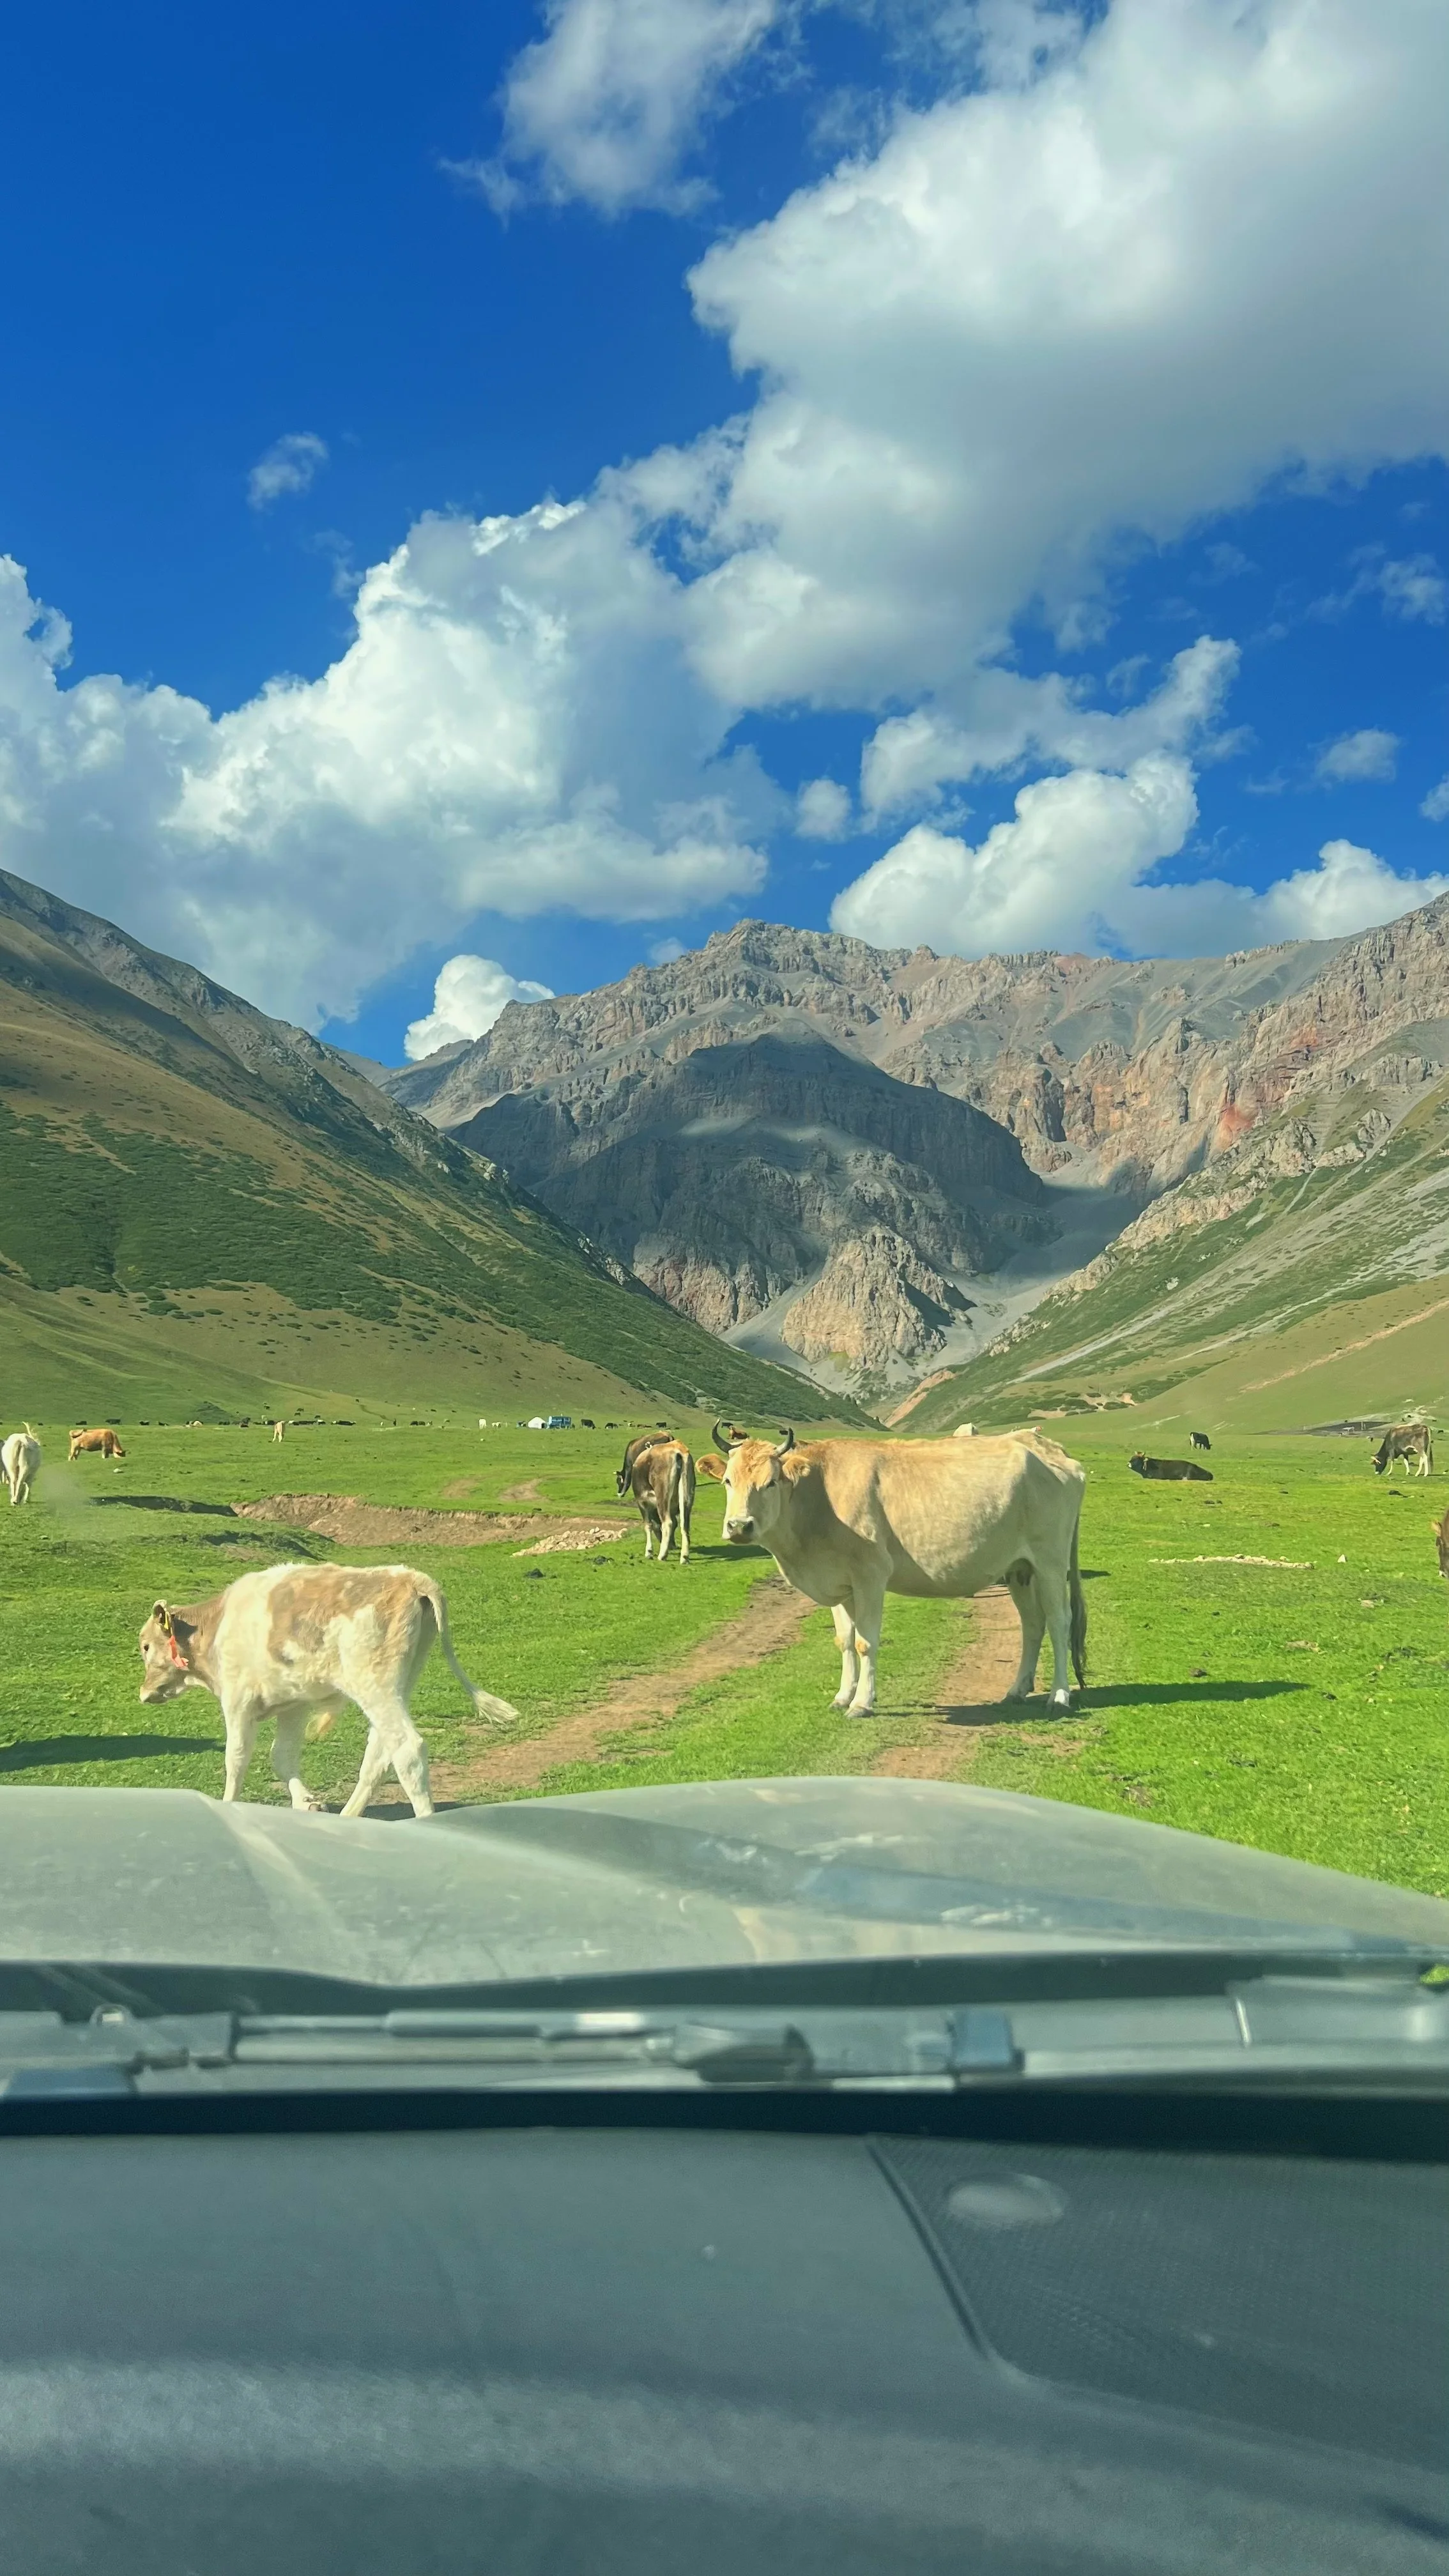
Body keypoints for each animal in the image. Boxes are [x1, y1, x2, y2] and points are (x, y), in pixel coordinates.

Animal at [138, 1562, 518, 1817]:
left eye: (144, 1646)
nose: (143, 1694)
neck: (216, 1626)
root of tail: (408, 1577)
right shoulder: (293, 1704)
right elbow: (282, 1757)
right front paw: (306, 1802)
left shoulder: (238, 1700)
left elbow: (236, 1759)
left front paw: (229, 1804)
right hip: (397, 1685)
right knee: (379, 1754)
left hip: (375, 1685)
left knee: (407, 1750)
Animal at [704, 1423, 1086, 1716]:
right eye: (727, 1481)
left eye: (770, 1482)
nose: (739, 1526)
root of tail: (1044, 1446)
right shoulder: (839, 1583)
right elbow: (844, 1641)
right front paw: (842, 1696)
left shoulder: (871, 1575)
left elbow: (865, 1643)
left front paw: (861, 1703)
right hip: (1020, 1569)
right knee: (1033, 1624)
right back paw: (1017, 1690)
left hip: (1050, 1562)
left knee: (1059, 1622)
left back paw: (1059, 1695)